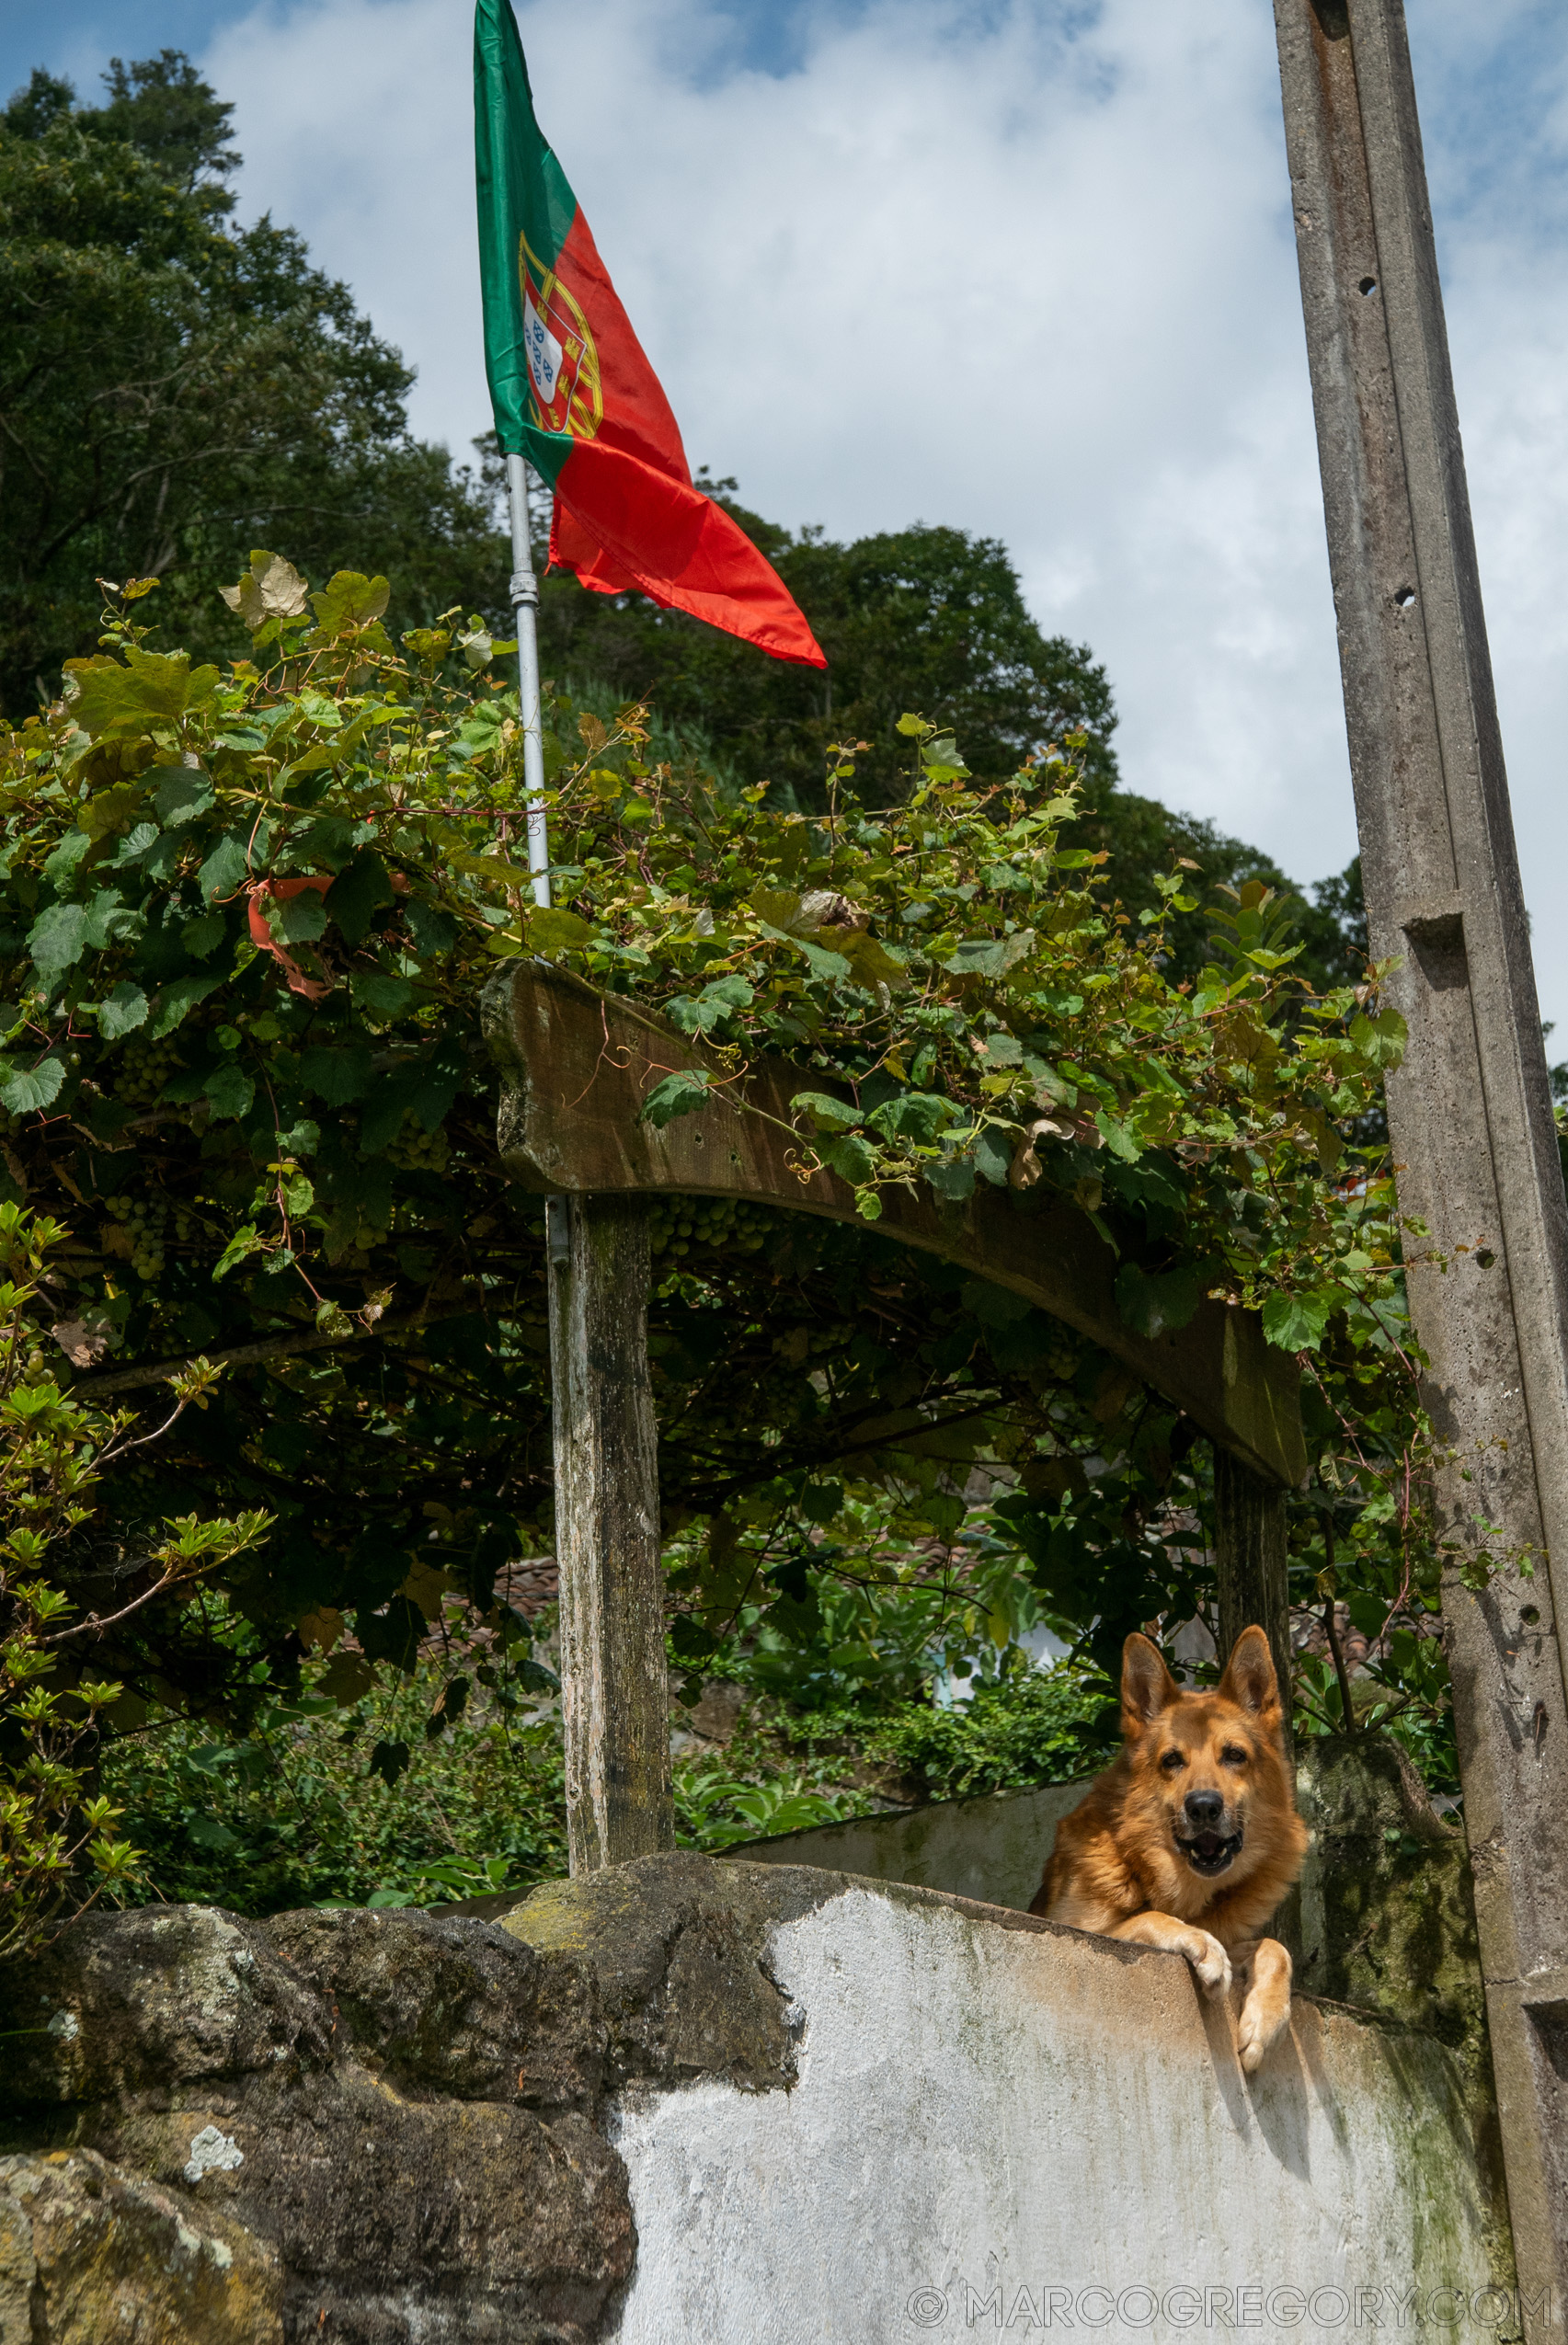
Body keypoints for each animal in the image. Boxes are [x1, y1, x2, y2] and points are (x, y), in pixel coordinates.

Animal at [1026, 1631, 1312, 2073]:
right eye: (1172, 1760)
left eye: (1234, 1755)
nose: (1204, 1807)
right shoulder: (1072, 1926)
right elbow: (1148, 1917)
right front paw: (1201, 1943)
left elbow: (1275, 1948)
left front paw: (1264, 2023)